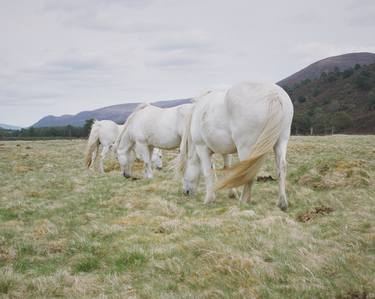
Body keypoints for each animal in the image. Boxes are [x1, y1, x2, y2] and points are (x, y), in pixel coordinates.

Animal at [181, 82, 296, 211]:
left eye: (183, 170)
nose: (185, 192)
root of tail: (273, 94)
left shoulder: (202, 148)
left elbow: (207, 172)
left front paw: (209, 199)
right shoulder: (225, 151)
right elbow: (227, 169)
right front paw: (231, 193)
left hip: (246, 148)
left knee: (249, 171)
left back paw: (243, 201)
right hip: (281, 141)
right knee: (281, 168)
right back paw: (282, 203)